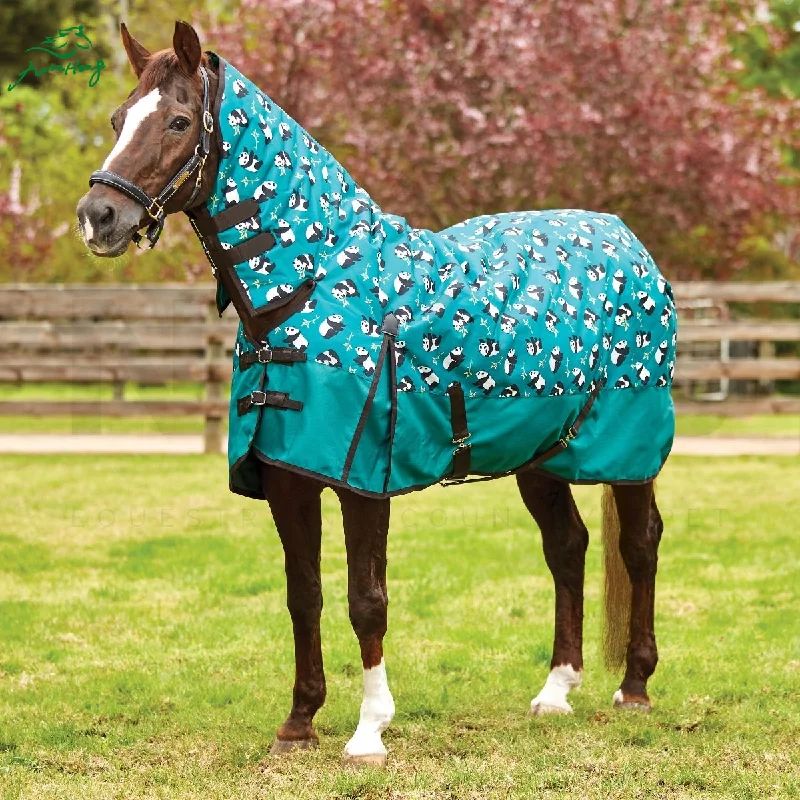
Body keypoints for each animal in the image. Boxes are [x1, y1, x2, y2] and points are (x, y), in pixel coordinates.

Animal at [76, 21, 674, 767]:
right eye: (117, 119)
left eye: (179, 121)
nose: (97, 216)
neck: (312, 285)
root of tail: (629, 244)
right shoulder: (288, 475)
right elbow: (303, 594)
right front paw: (299, 722)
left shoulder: (363, 480)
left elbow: (367, 598)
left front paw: (368, 732)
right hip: (540, 455)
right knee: (567, 547)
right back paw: (556, 691)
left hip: (629, 453)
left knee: (640, 545)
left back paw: (635, 687)